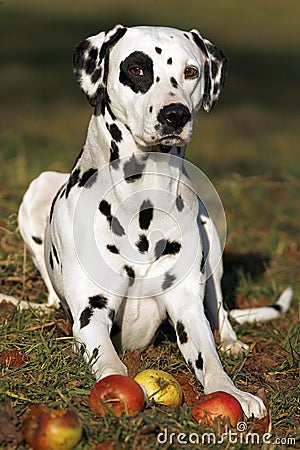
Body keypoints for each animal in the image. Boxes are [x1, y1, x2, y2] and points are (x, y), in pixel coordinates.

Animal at [0, 24, 290, 418]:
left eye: (191, 71)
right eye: (136, 69)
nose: (175, 115)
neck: (142, 203)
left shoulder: (186, 309)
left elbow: (209, 357)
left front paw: (232, 392)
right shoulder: (91, 316)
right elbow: (110, 363)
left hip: (211, 236)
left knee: (221, 312)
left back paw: (232, 341)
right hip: (38, 190)